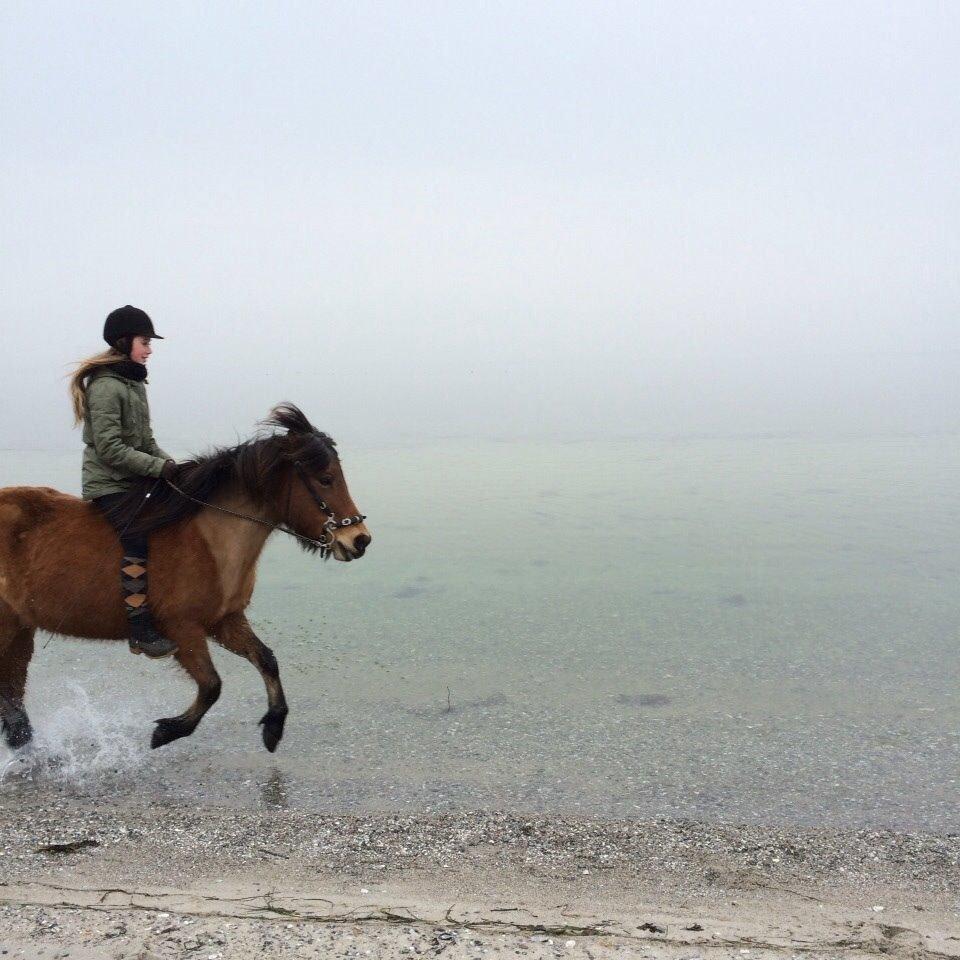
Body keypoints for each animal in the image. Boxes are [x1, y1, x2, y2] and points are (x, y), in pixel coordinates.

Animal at [0, 402, 372, 752]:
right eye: (325, 479)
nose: (359, 540)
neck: (212, 540)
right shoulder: (181, 629)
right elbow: (211, 685)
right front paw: (167, 731)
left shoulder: (225, 621)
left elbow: (267, 660)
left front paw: (274, 726)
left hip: (21, 629)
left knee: (13, 692)